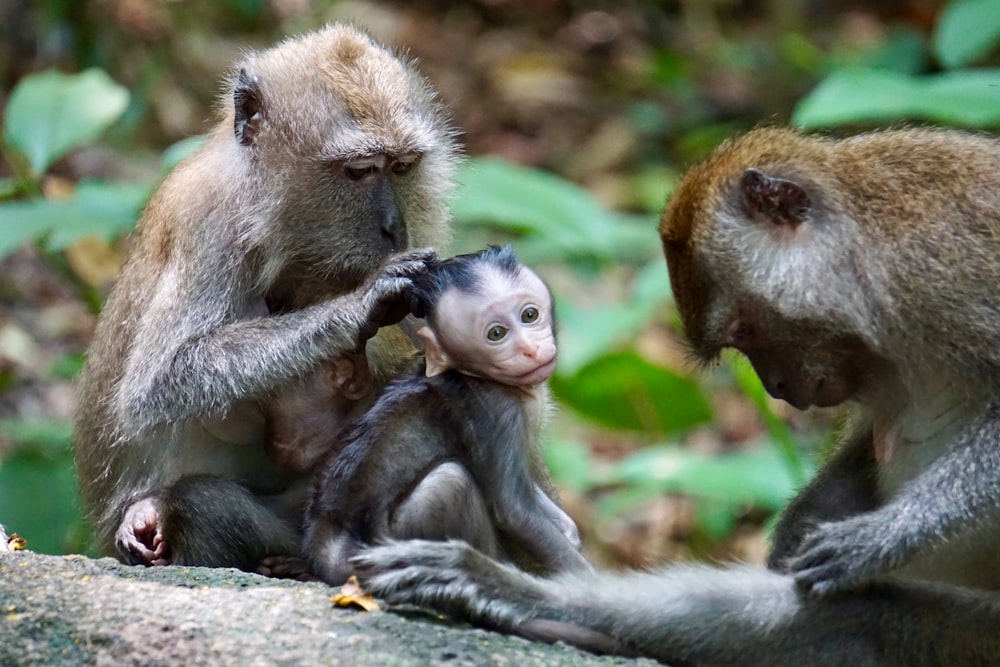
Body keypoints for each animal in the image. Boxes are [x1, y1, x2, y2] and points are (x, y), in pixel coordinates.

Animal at [74, 24, 458, 576]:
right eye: (361, 171)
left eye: (403, 167)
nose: (394, 228)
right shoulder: (207, 224)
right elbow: (157, 382)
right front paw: (359, 305)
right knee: (201, 504)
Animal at [304, 245, 584, 584]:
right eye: (497, 334)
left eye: (529, 315)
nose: (529, 350)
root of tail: (327, 539)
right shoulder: (497, 411)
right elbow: (514, 509)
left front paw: (567, 530)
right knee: (450, 483)